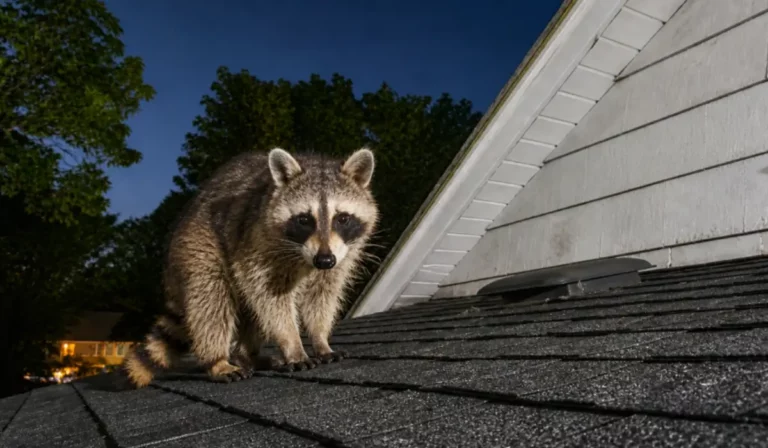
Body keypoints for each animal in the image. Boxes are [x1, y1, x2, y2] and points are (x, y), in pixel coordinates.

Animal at [120, 147, 378, 388]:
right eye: (304, 220)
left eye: (342, 218)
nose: (324, 261)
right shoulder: (256, 242)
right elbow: (271, 299)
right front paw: (293, 344)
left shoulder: (341, 255)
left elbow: (321, 295)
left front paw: (320, 339)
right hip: (197, 247)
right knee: (211, 302)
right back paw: (217, 360)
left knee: (249, 312)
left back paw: (247, 356)